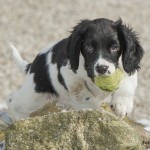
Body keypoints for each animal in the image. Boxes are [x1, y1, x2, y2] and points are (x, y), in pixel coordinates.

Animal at [6, 18, 144, 121]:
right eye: (89, 47)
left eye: (114, 47)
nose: (102, 69)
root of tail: (32, 65)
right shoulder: (69, 73)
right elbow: (83, 93)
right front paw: (95, 110)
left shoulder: (128, 65)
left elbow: (128, 82)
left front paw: (122, 104)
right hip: (34, 94)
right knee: (12, 100)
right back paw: (20, 119)